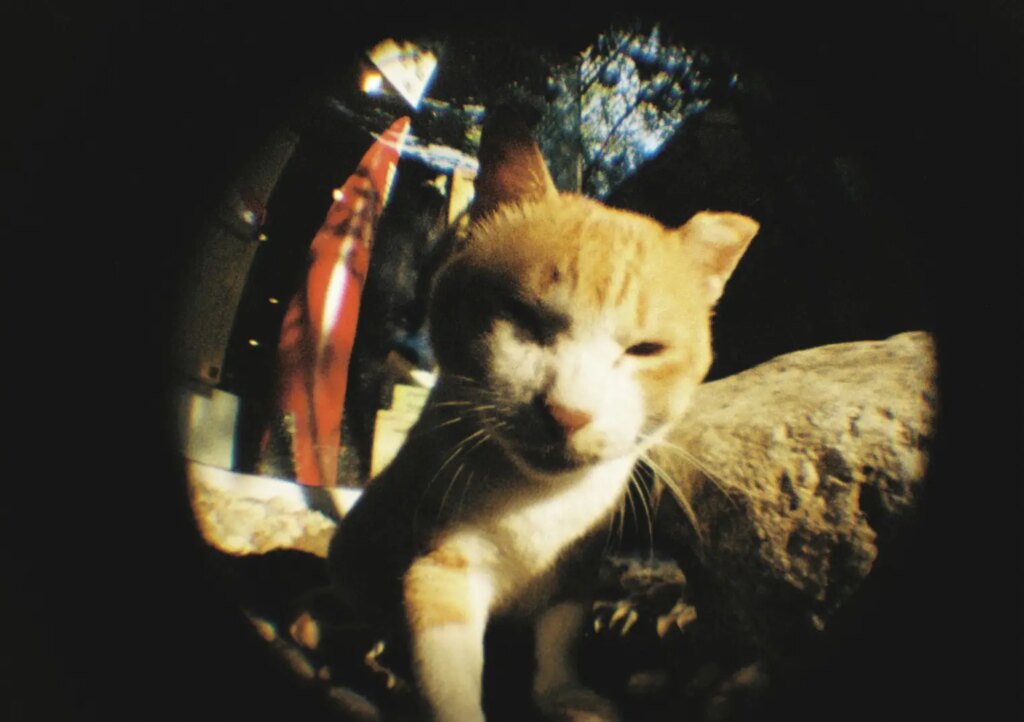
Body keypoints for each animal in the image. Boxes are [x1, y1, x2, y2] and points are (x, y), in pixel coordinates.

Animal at [323, 114, 757, 720]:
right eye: (523, 318)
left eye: (645, 350)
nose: (568, 412)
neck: (537, 501)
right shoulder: (440, 572)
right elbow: (450, 680)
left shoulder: (575, 573)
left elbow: (559, 640)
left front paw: (565, 695)